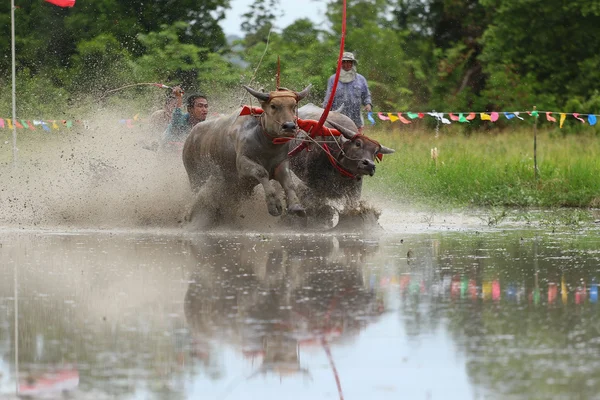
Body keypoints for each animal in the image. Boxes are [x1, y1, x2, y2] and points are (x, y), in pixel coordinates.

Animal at [182, 85, 314, 227]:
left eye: (294, 106)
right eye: (273, 106)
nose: (289, 126)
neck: (265, 144)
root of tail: (189, 137)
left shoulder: (281, 163)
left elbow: (288, 182)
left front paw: (296, 206)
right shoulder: (242, 164)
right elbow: (262, 172)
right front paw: (274, 204)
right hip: (195, 178)